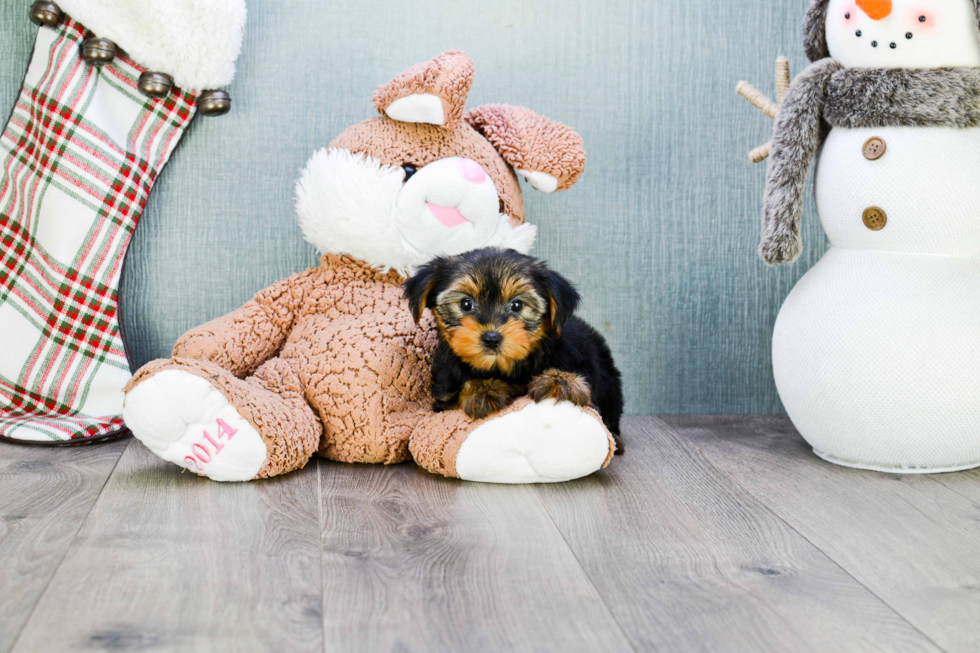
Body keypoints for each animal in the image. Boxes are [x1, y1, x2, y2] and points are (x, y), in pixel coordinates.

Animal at [402, 247, 624, 450]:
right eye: (466, 304)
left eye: (517, 305)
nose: (491, 338)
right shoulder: (443, 396)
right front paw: (483, 388)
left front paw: (560, 380)